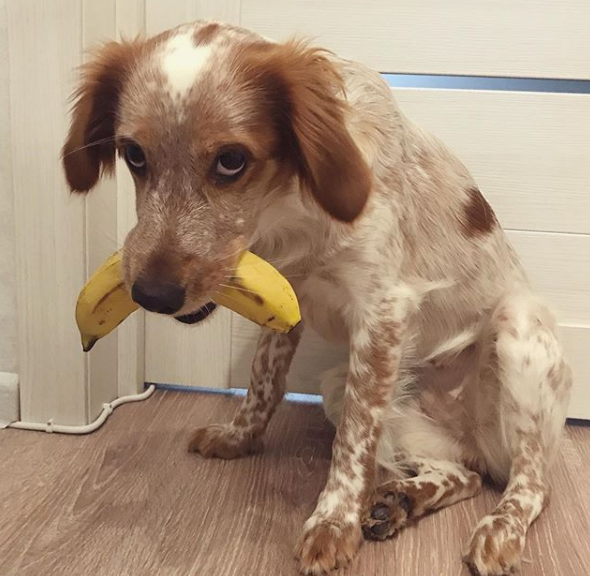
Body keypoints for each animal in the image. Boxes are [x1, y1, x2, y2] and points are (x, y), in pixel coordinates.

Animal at [63, 20, 572, 576]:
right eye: (134, 154)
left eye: (231, 160)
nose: (152, 294)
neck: (291, 204)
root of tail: (477, 440)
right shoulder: (285, 293)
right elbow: (263, 381)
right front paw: (240, 437)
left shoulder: (382, 310)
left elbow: (354, 440)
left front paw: (333, 523)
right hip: (343, 389)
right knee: (466, 474)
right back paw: (401, 500)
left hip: (518, 332)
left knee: (532, 484)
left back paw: (499, 529)